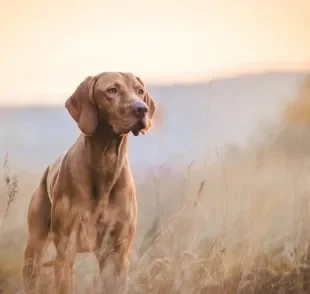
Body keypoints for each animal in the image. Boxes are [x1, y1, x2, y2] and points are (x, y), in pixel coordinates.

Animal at [21, 72, 156, 294]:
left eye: (140, 91)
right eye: (112, 90)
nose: (141, 109)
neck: (106, 162)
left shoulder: (117, 256)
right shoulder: (65, 253)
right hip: (33, 250)